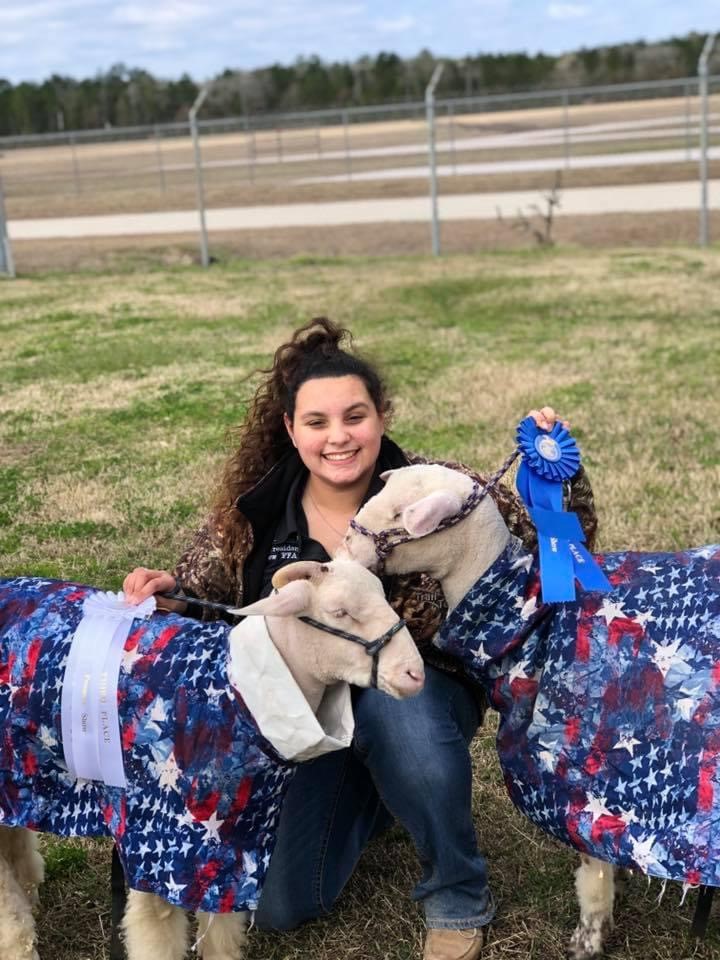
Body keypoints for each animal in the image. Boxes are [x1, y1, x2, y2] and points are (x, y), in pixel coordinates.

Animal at [0, 560, 422, 960]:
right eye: (340, 612)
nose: (414, 673)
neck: (235, 692)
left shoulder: (232, 839)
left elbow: (221, 928)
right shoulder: (158, 843)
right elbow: (157, 935)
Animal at [340, 462, 720, 956]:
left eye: (400, 514)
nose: (345, 550)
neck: (523, 610)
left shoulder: (586, 785)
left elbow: (592, 877)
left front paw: (587, 942)